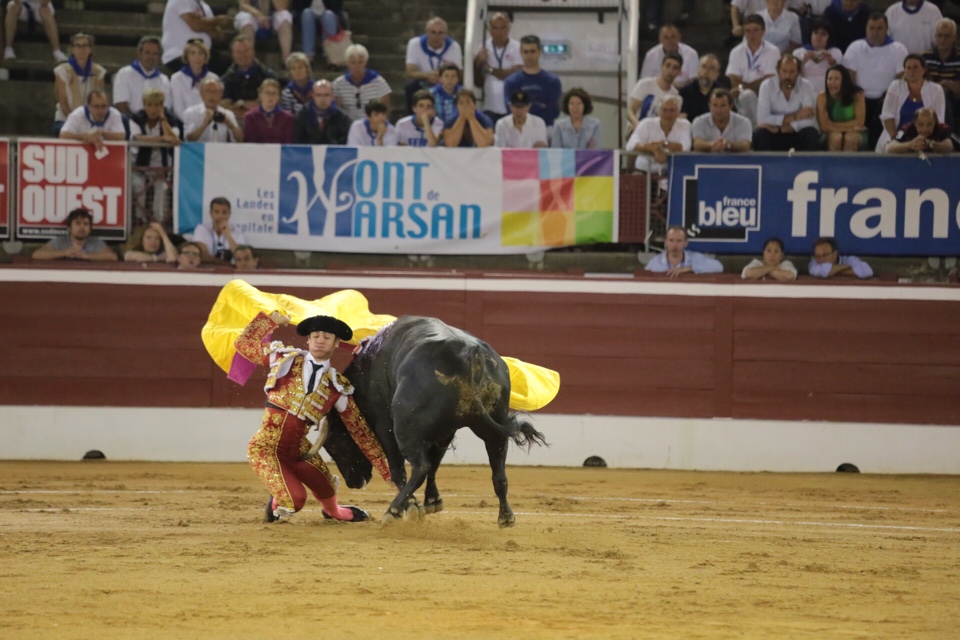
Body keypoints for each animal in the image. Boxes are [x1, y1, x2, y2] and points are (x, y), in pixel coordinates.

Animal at [324, 314, 544, 524]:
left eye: (332, 443)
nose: (354, 482)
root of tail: (472, 356)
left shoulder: (385, 425)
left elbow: (399, 468)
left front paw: (411, 506)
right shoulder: (445, 432)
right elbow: (435, 463)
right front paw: (432, 501)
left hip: (405, 431)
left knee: (420, 467)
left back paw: (393, 510)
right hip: (494, 422)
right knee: (498, 468)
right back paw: (506, 516)